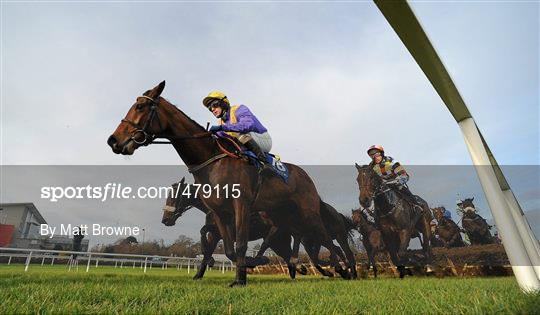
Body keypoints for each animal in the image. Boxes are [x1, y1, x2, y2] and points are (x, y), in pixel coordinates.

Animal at [107, 81, 348, 286]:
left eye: (140, 106)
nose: (113, 140)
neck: (211, 161)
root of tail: (305, 174)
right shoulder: (219, 213)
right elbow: (228, 249)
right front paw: (240, 269)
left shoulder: (241, 205)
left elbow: (240, 243)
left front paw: (240, 279)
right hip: (283, 217)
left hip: (308, 211)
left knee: (325, 236)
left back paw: (341, 268)